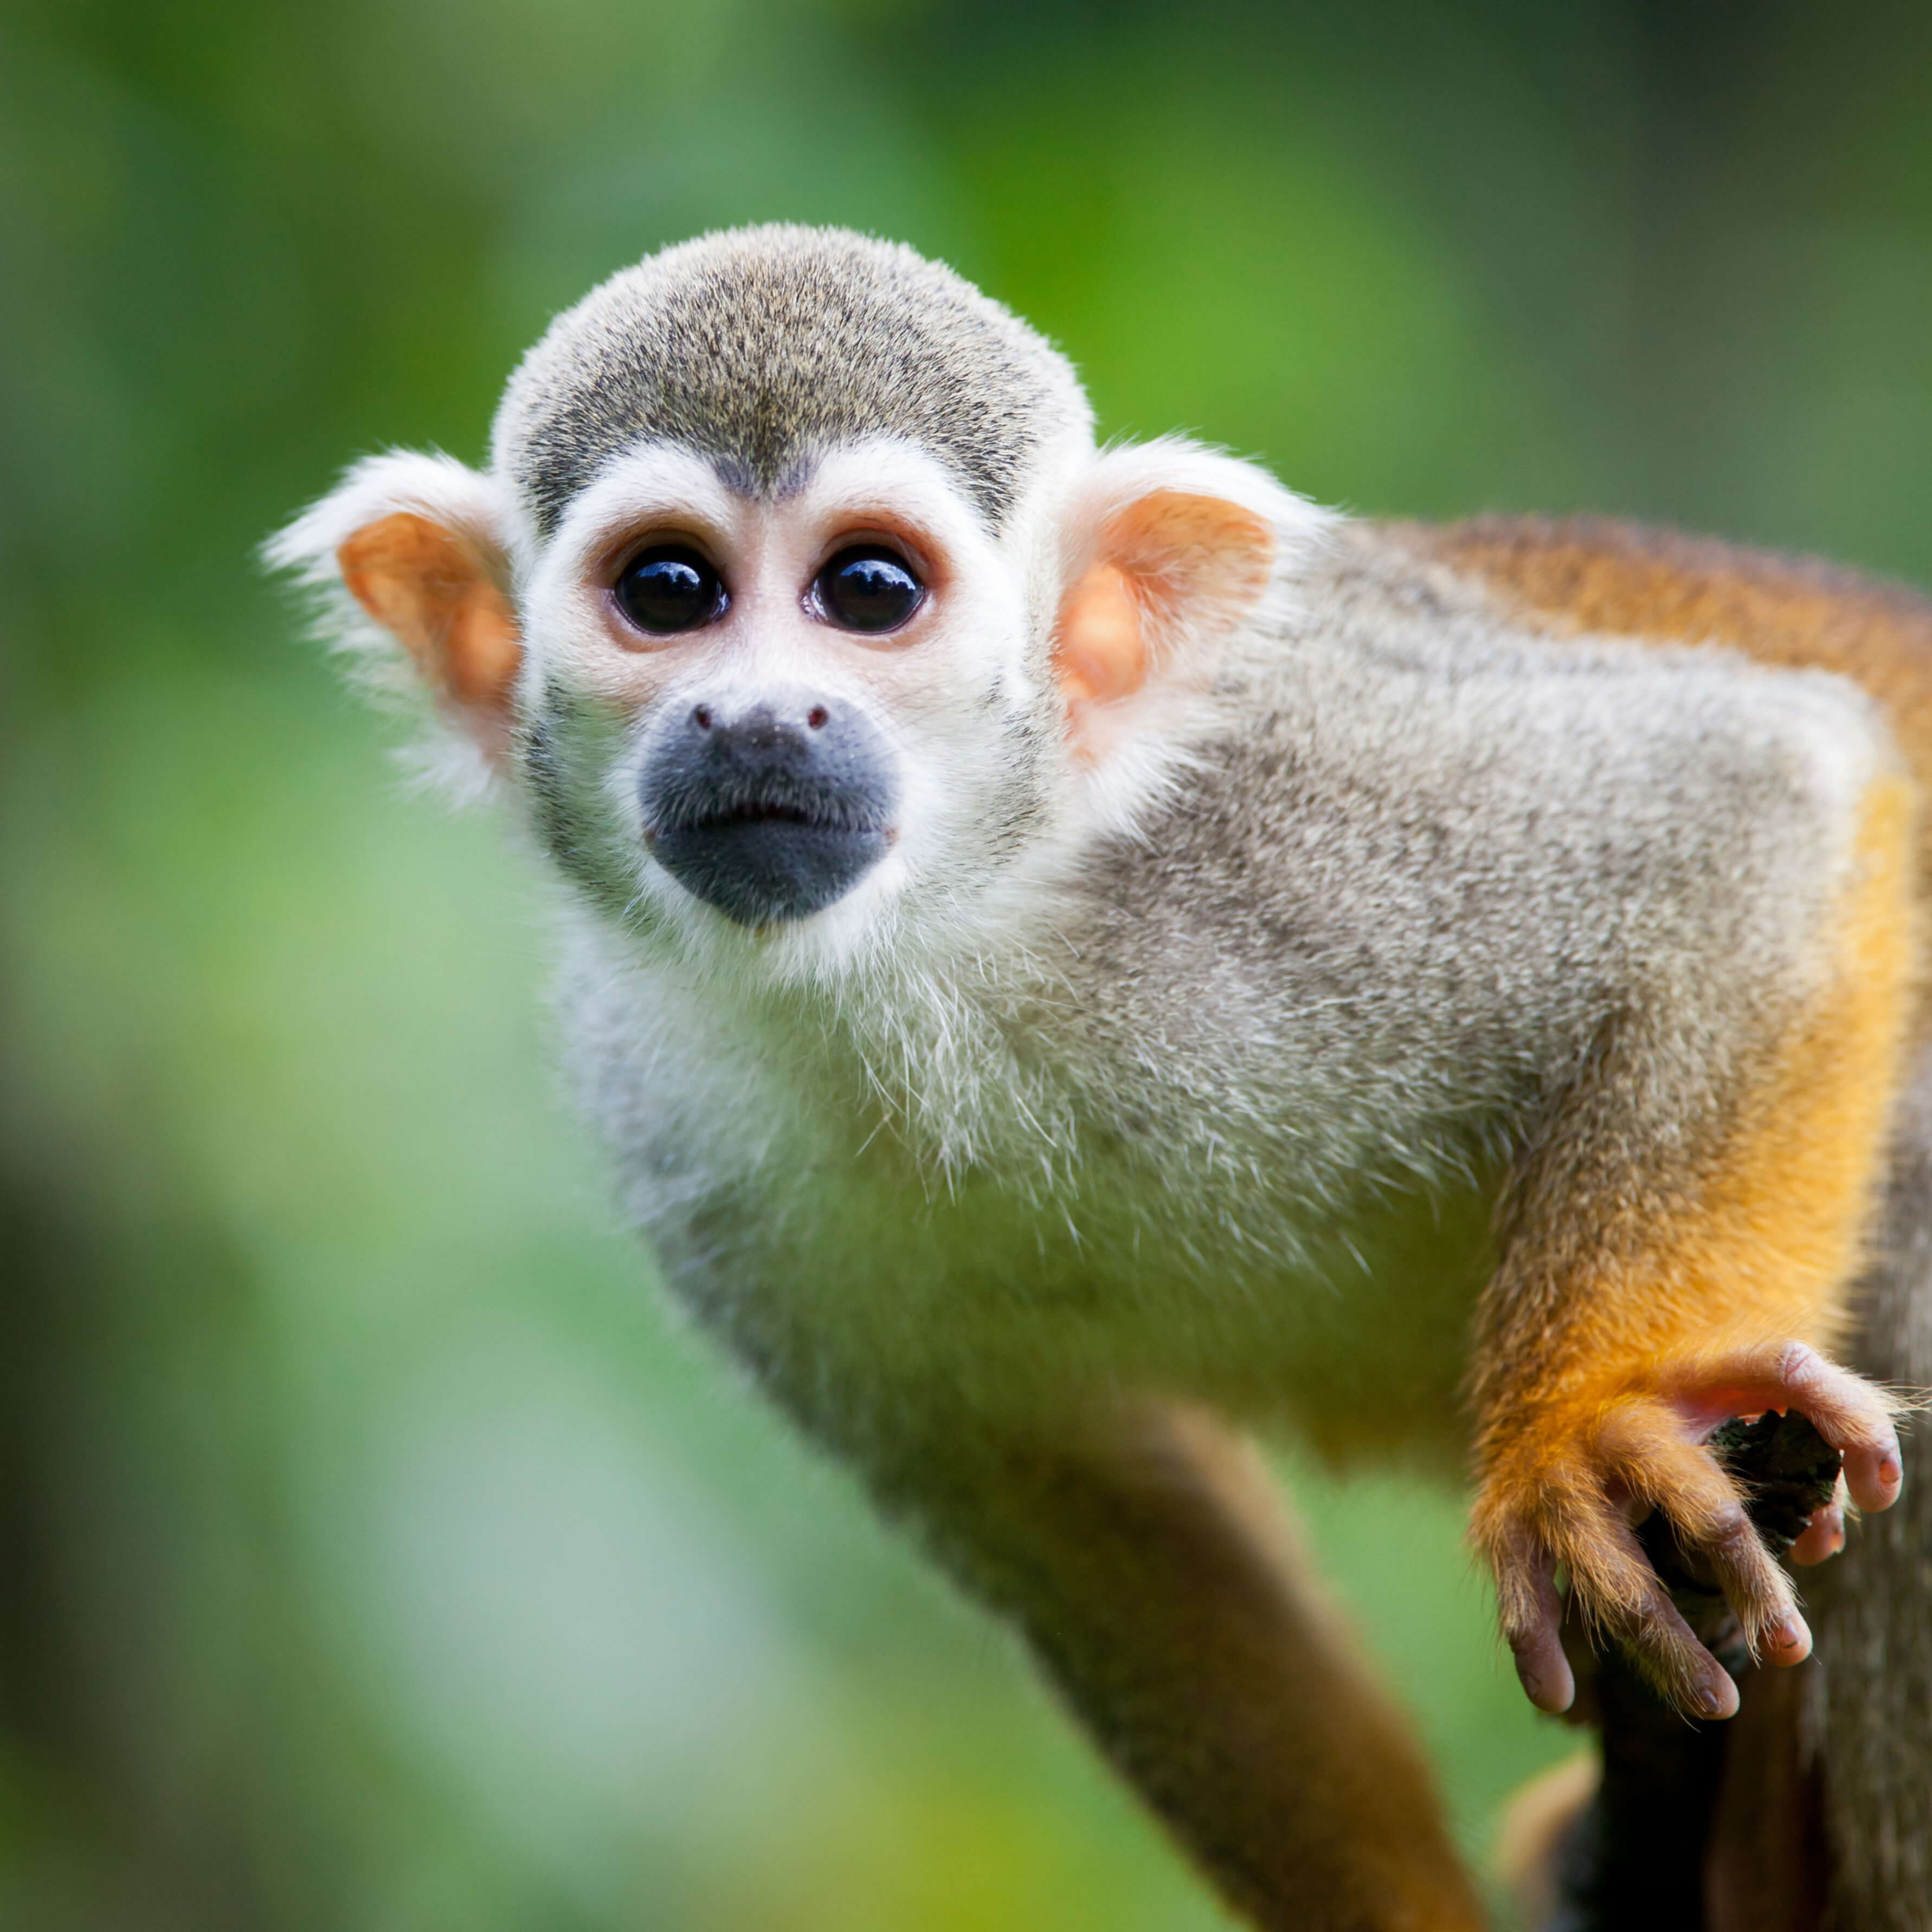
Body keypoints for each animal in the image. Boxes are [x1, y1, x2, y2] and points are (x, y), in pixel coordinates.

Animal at [269, 225, 1929, 1932]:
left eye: (868, 590)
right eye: (667, 591)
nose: (754, 718)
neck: (949, 941)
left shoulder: (1298, 804)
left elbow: (1753, 796)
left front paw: (1593, 1432)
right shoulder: (669, 1122)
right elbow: (1098, 1528)